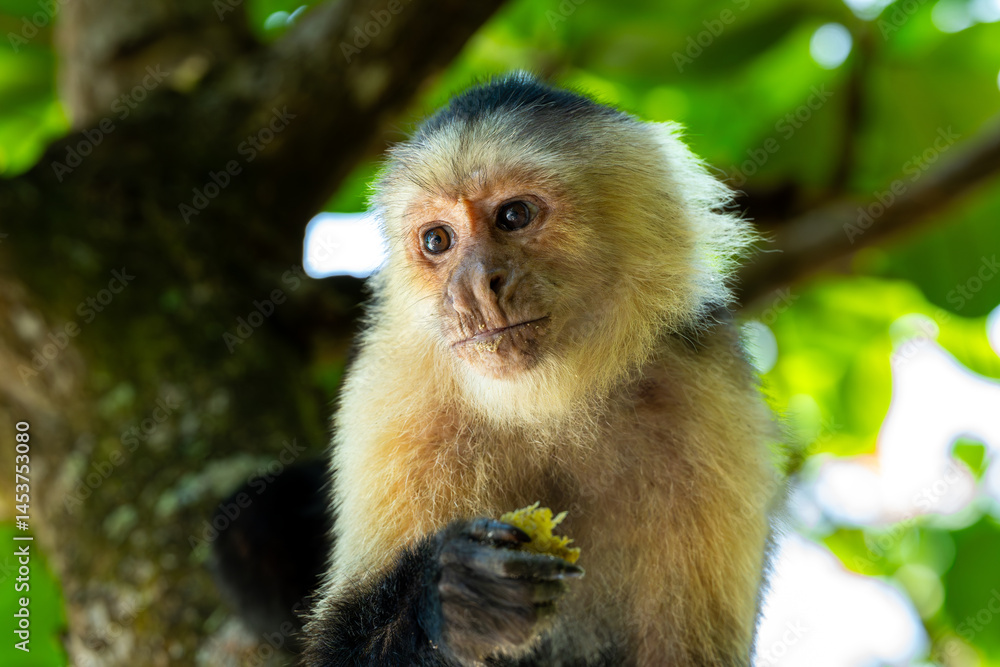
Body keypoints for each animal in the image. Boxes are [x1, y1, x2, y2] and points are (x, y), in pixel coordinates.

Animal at [292, 72, 780, 666]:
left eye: (514, 216)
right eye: (437, 240)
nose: (473, 288)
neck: (549, 406)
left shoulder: (708, 389)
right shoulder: (392, 394)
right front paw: (452, 600)